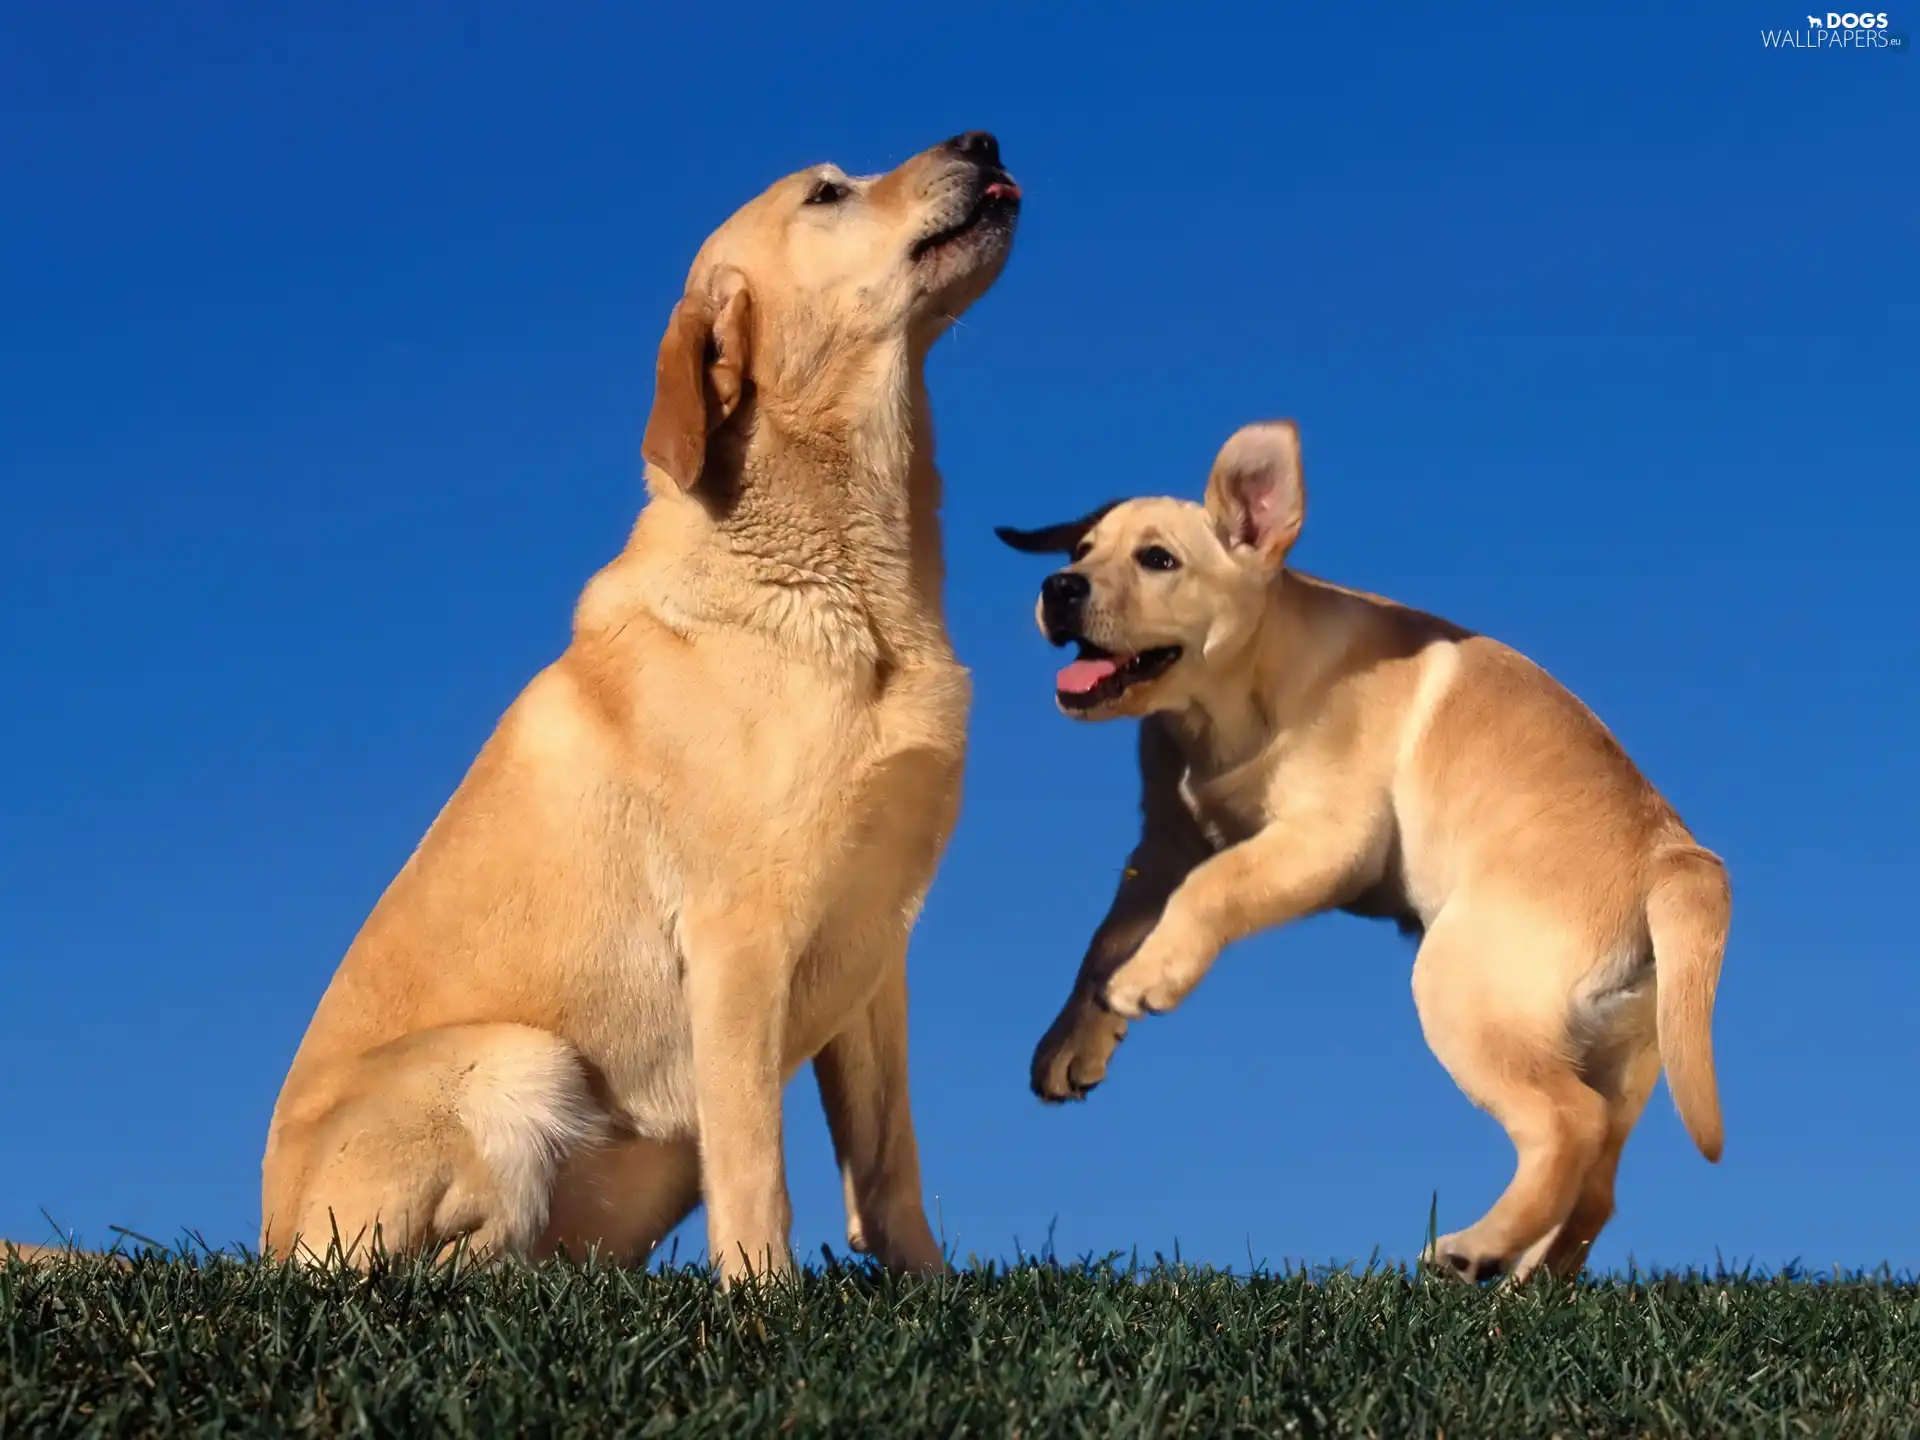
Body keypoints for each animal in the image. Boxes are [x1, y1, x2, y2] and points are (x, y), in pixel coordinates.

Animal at [266, 135, 1036, 1282]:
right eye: (827, 194)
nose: (981, 141)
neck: (851, 576)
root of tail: (261, 1239)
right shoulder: (738, 941)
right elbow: (759, 1167)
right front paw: (765, 1298)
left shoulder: (874, 948)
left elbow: (889, 1162)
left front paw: (932, 1291)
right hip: (519, 1062)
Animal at [998, 420, 1735, 1282]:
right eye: (1080, 549)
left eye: (1158, 560)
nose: (1059, 588)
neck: (1224, 706)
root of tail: (1674, 860)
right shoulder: (1164, 841)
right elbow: (1105, 941)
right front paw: (1074, 1040)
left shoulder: (1325, 840)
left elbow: (1214, 886)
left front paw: (1152, 978)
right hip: (1624, 1049)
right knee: (1596, 1189)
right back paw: (1522, 1281)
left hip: (1463, 988)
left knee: (1565, 1124)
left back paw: (1474, 1248)